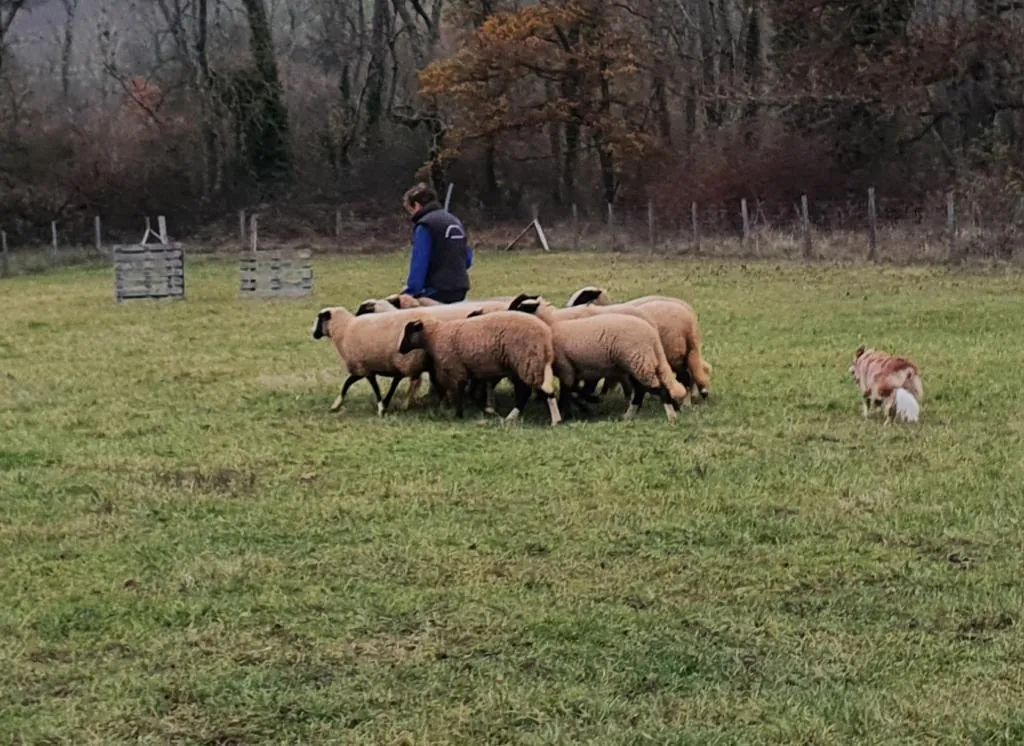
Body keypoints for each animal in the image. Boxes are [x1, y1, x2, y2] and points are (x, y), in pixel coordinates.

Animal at [397, 311, 563, 426]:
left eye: (409, 331)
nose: (400, 350)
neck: (436, 335)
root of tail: (546, 336)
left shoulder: (457, 367)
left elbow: (459, 390)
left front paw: (459, 414)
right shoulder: (473, 370)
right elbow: (472, 392)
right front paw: (487, 410)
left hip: (527, 361)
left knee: (531, 391)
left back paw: (551, 420)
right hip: (530, 364)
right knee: (537, 390)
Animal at [513, 298, 687, 422]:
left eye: (520, 307)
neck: (550, 326)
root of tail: (652, 334)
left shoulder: (566, 367)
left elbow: (569, 392)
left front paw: (573, 409)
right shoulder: (573, 370)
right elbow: (573, 391)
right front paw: (584, 405)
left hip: (639, 360)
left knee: (657, 389)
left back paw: (671, 417)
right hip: (635, 363)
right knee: (641, 389)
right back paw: (628, 416)